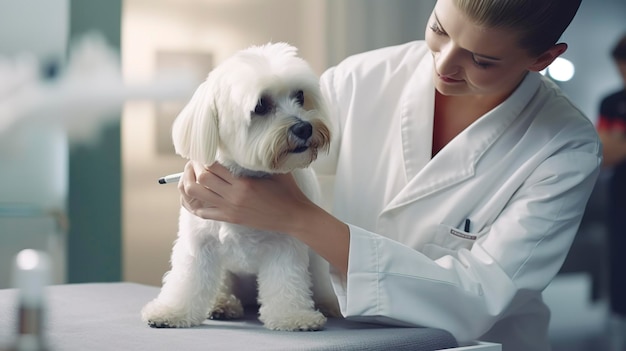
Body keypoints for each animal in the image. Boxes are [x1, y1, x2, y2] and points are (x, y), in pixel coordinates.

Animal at [141, 42, 338, 332]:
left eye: (300, 96)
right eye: (261, 105)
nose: (304, 128)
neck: (250, 173)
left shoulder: (286, 245)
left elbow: (286, 282)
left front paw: (293, 317)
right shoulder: (199, 243)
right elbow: (187, 280)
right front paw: (172, 311)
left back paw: (328, 305)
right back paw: (222, 304)